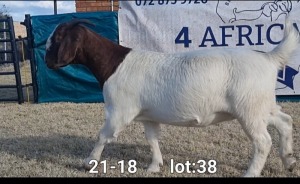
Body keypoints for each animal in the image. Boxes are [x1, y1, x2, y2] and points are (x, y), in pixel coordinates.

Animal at [44, 17, 298, 177]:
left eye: (57, 39)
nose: (47, 62)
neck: (115, 64)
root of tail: (269, 58)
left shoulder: (119, 111)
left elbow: (104, 135)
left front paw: (89, 163)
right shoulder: (148, 115)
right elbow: (152, 138)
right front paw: (155, 166)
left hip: (248, 108)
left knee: (263, 141)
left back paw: (250, 173)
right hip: (262, 105)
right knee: (285, 122)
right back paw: (289, 161)